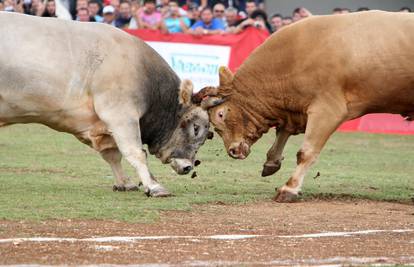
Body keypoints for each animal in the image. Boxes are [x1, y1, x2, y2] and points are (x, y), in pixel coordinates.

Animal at [194, 10, 414, 203]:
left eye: (220, 115)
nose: (232, 151)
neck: (296, 55)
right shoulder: (295, 110)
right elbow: (283, 131)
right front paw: (272, 161)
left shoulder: (327, 110)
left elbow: (306, 152)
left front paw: (289, 189)